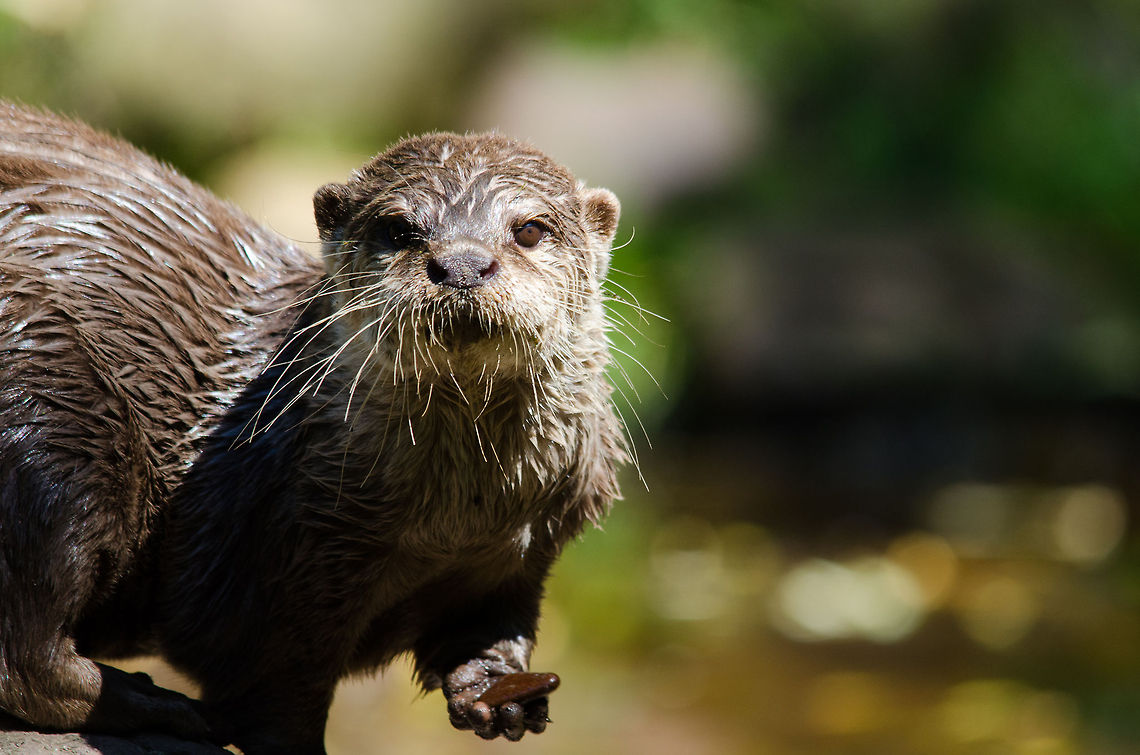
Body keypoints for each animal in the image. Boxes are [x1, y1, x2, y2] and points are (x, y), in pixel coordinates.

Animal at [0, 102, 625, 753]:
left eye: (529, 229)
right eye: (398, 229)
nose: (461, 264)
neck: (457, 517)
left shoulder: (523, 554)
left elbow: (488, 629)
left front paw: (497, 691)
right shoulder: (287, 558)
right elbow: (272, 696)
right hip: (50, 402)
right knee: (28, 657)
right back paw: (155, 703)